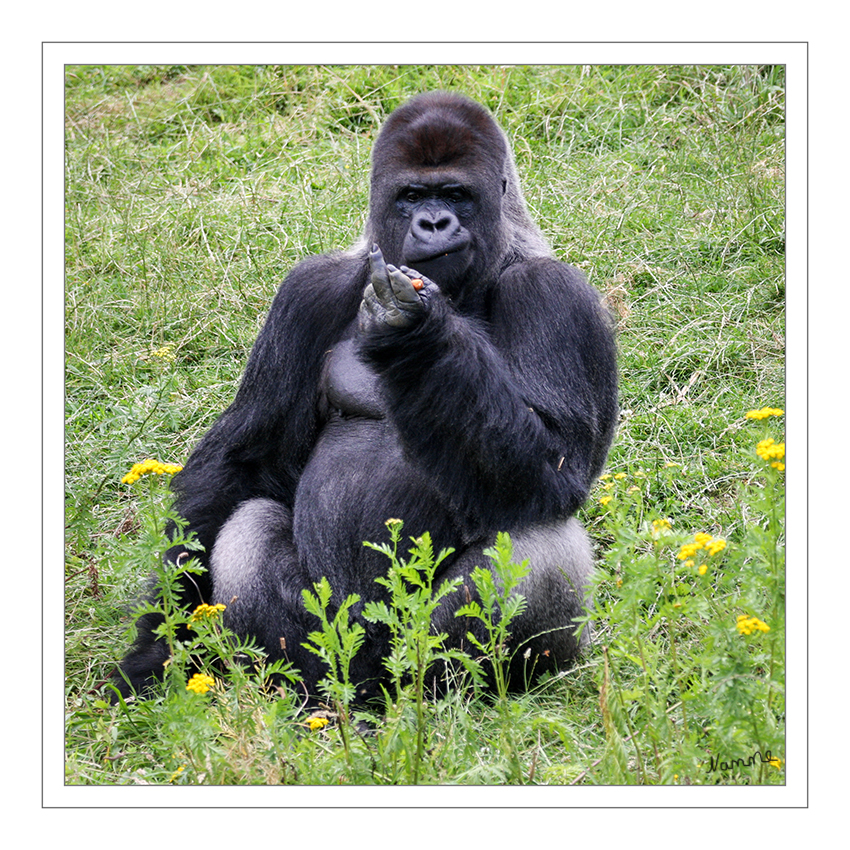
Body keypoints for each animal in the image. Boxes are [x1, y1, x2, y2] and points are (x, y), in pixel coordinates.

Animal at [114, 93, 616, 704]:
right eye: (411, 196)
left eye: (455, 195)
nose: (433, 222)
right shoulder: (308, 290)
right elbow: (246, 461)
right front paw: (156, 646)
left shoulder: (555, 295)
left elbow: (556, 464)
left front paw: (419, 335)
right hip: (337, 642)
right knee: (248, 526)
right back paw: (313, 694)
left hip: (416, 649)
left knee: (536, 542)